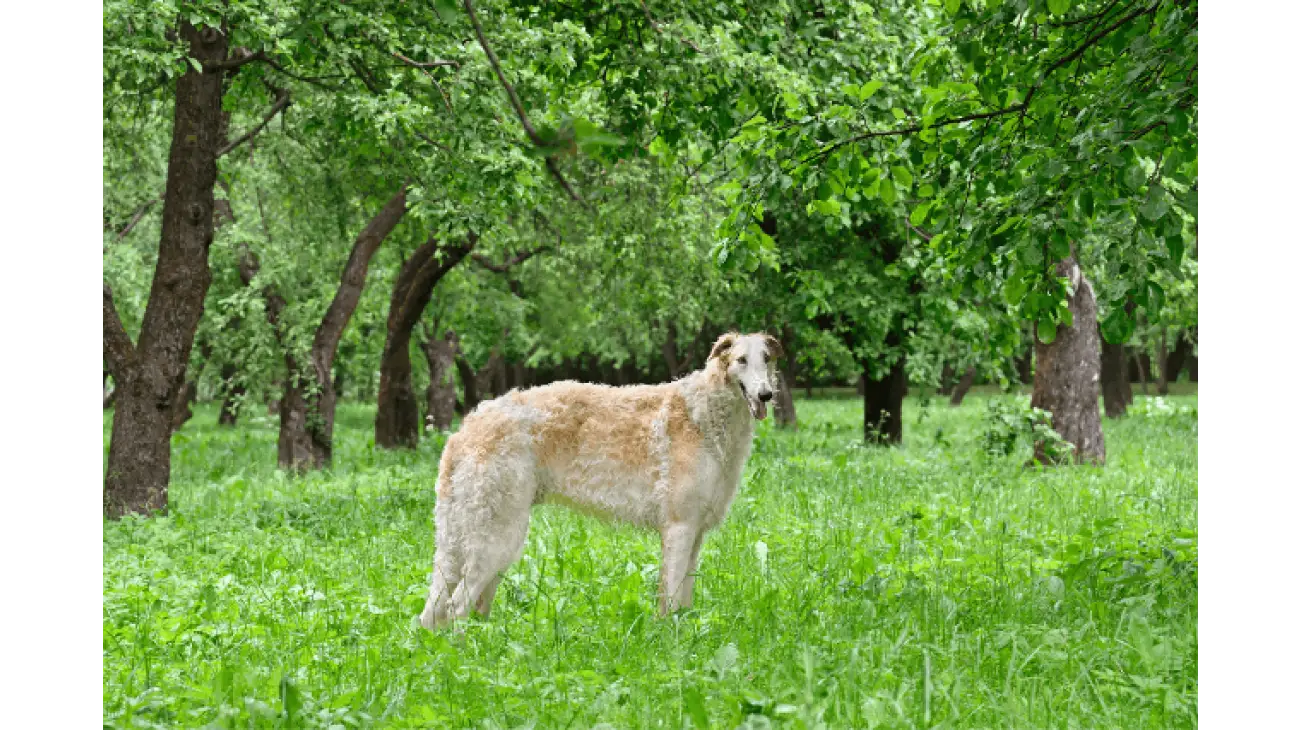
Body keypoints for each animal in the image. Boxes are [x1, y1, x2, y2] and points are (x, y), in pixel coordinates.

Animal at [418, 329, 780, 626]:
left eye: (766, 359)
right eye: (741, 360)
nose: (766, 395)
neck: (704, 415)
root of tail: (463, 430)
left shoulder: (695, 533)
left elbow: (681, 599)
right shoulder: (680, 527)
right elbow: (673, 601)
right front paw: (673, 643)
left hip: (475, 538)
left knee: (446, 610)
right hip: (498, 535)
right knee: (456, 607)